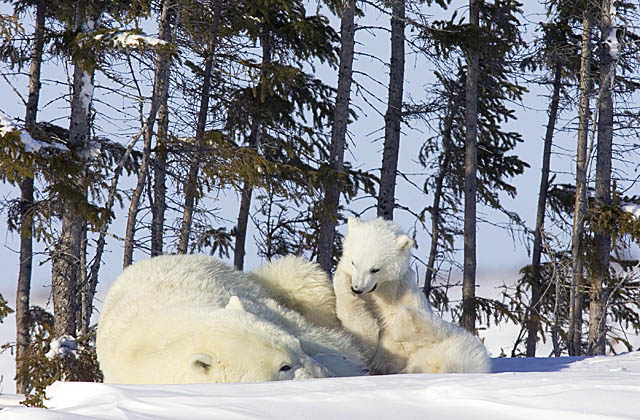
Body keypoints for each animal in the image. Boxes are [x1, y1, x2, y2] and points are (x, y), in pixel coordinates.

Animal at [336, 217, 490, 374]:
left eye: (375, 269)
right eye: (353, 262)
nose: (357, 288)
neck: (382, 291)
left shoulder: (404, 292)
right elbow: (360, 333)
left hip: (455, 347)